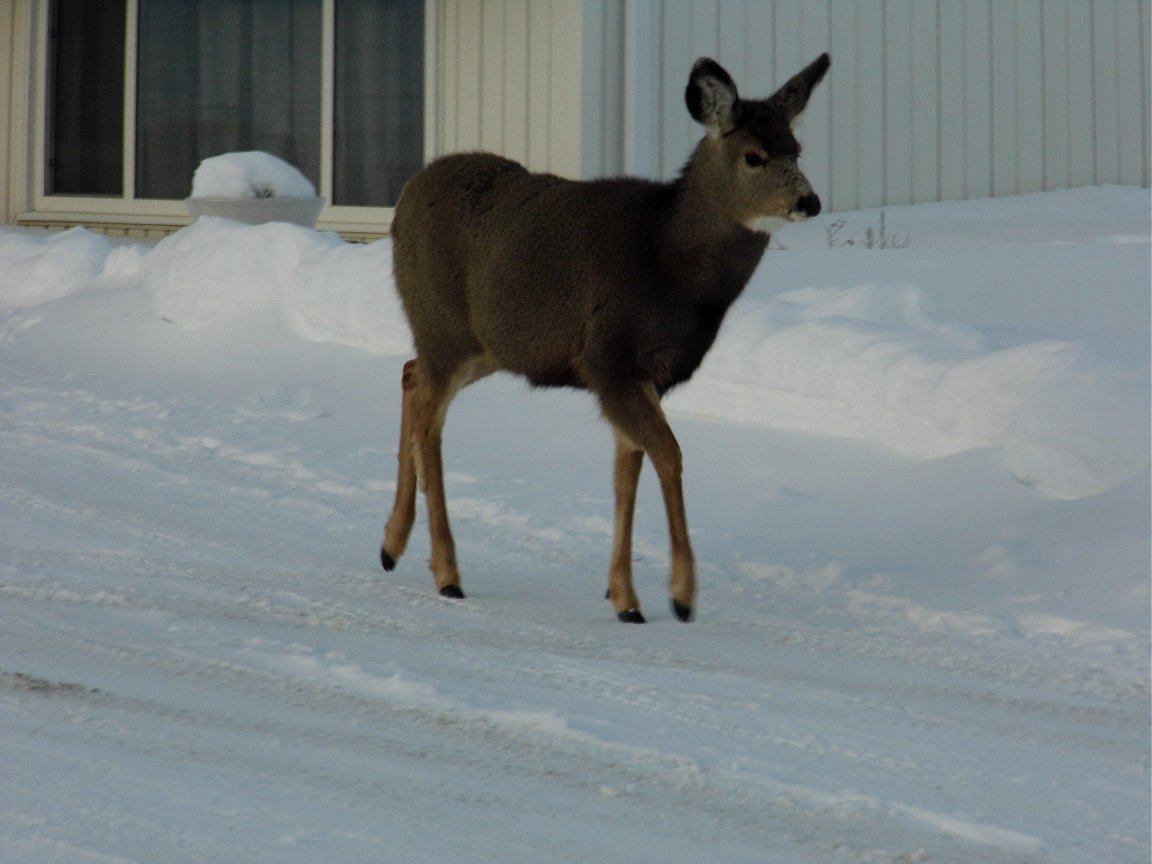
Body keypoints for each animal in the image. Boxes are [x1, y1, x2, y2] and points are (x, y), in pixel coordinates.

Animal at [382, 52, 834, 622]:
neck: (671, 263)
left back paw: (391, 547)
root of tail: (404, 200)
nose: (809, 200)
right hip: (443, 327)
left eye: (796, 149)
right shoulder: (608, 359)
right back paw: (446, 572)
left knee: (409, 376)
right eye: (754, 156)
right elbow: (669, 455)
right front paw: (680, 594)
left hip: (483, 346)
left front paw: (624, 597)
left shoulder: (648, 377)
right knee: (428, 418)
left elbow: (627, 472)